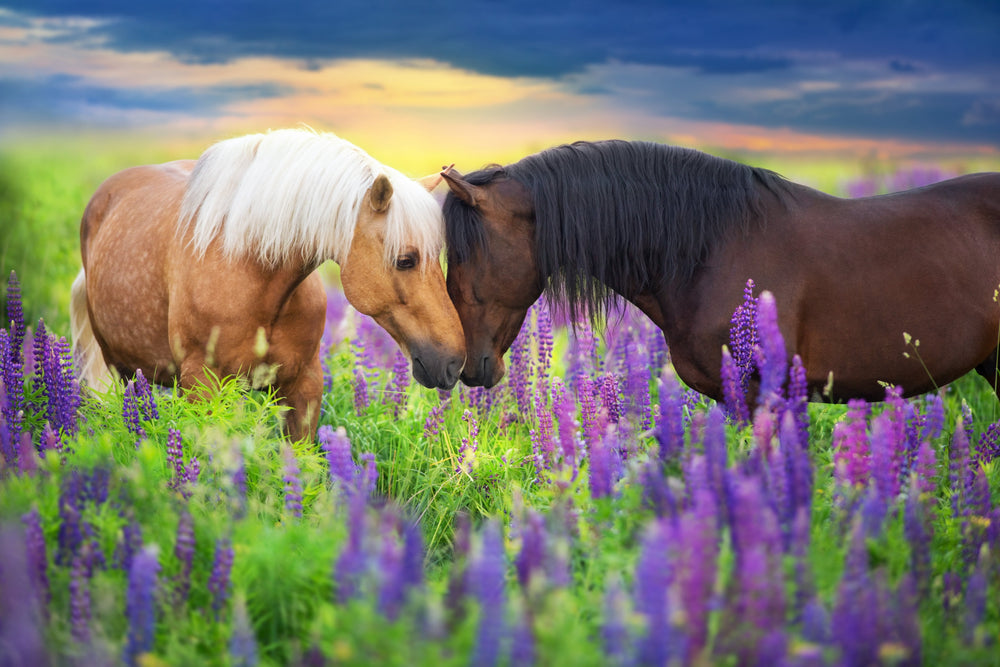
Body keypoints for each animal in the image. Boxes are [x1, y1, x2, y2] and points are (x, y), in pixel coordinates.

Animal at [71, 128, 466, 442]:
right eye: (406, 260)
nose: (454, 363)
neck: (253, 278)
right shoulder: (202, 386)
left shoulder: (305, 385)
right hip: (122, 370)